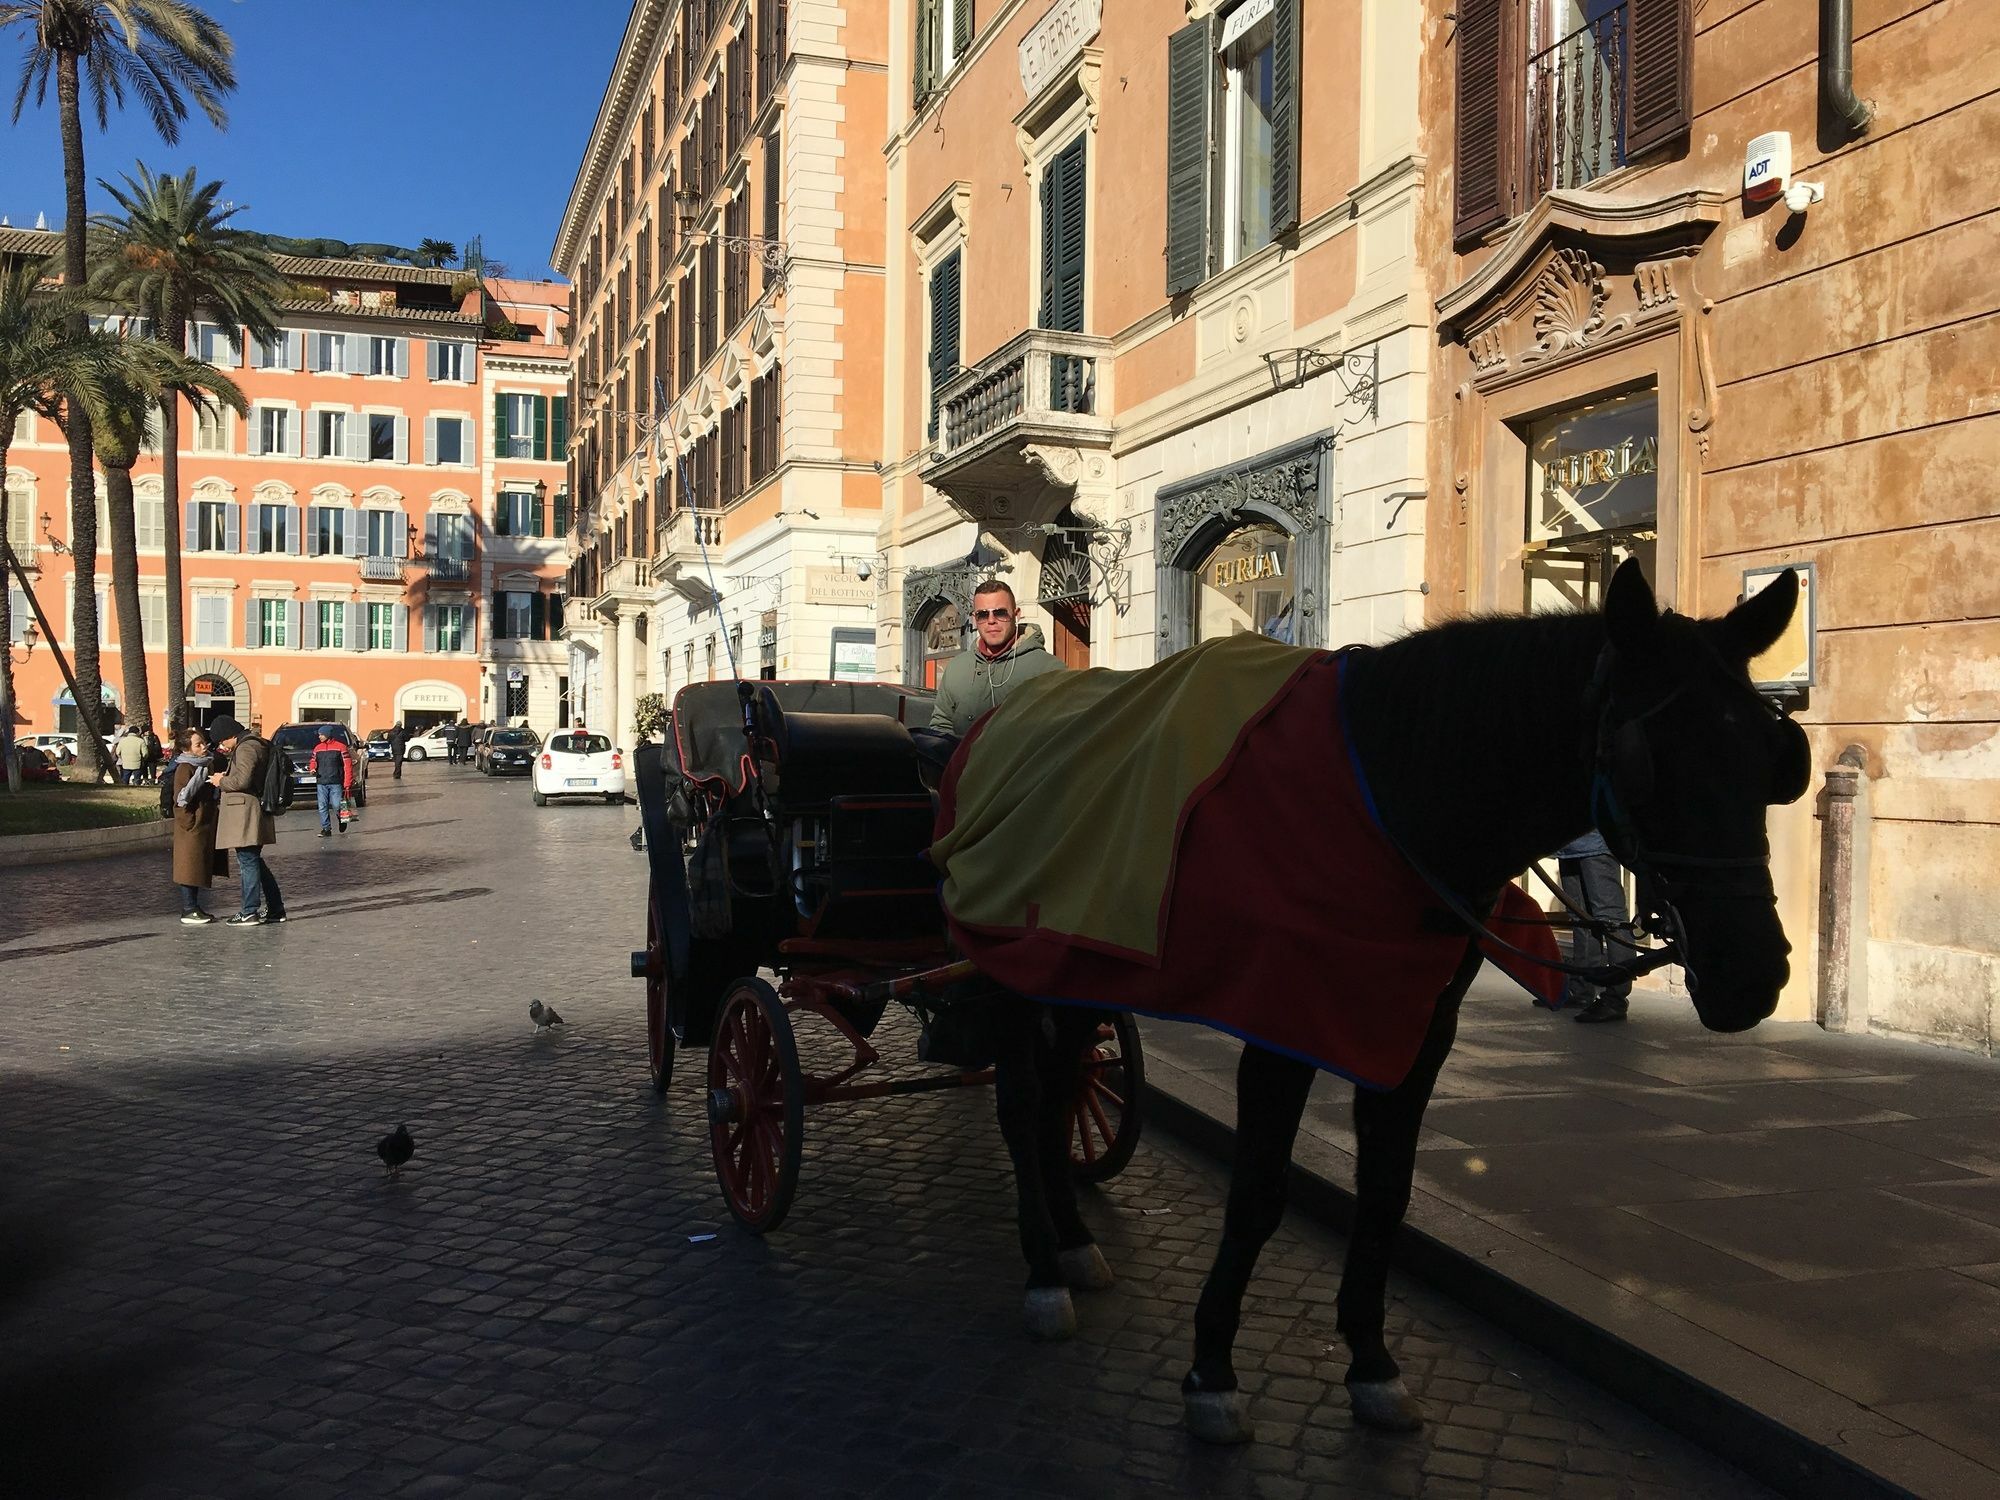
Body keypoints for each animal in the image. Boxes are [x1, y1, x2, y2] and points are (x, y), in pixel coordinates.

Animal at [984, 560, 1816, 1448]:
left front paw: (1371, 1362)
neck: (1383, 798)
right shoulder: (1282, 1021)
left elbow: (1387, 1189)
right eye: (1645, 763)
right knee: (1023, 1100)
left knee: (1063, 1088)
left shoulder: (1421, 1025)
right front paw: (1212, 1370)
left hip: (1083, 961)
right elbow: (1258, 1190)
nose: (1753, 971)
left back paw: (1073, 1242)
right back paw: (1044, 1271)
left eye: (1775, 758)